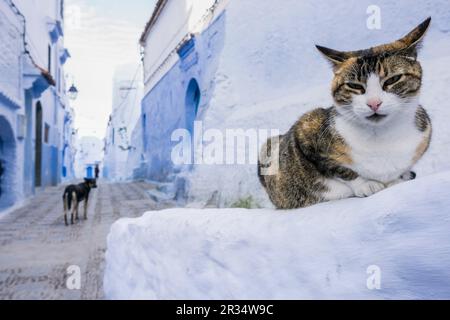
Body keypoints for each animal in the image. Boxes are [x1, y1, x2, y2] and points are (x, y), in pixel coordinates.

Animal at [260, 16, 432, 210]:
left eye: (393, 79)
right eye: (354, 86)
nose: (374, 103)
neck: (381, 136)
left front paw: (397, 179)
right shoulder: (305, 130)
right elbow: (338, 169)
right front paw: (367, 184)